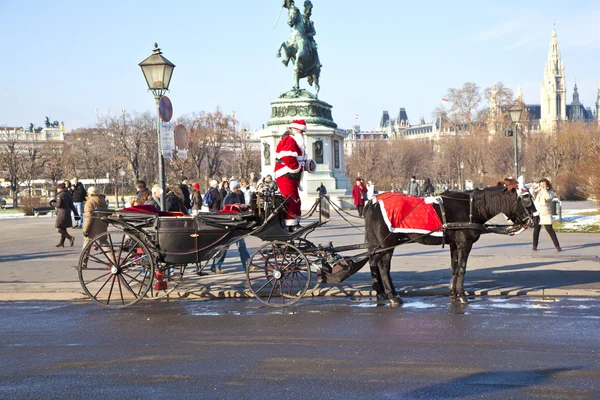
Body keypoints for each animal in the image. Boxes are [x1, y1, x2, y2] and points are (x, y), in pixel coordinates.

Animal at [364, 180, 536, 304]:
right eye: (527, 198)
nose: (536, 219)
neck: (471, 207)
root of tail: (374, 202)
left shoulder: (454, 244)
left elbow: (455, 267)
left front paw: (454, 293)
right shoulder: (465, 244)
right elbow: (462, 268)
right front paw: (461, 295)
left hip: (379, 245)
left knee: (375, 262)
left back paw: (383, 293)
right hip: (387, 244)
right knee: (384, 267)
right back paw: (392, 296)